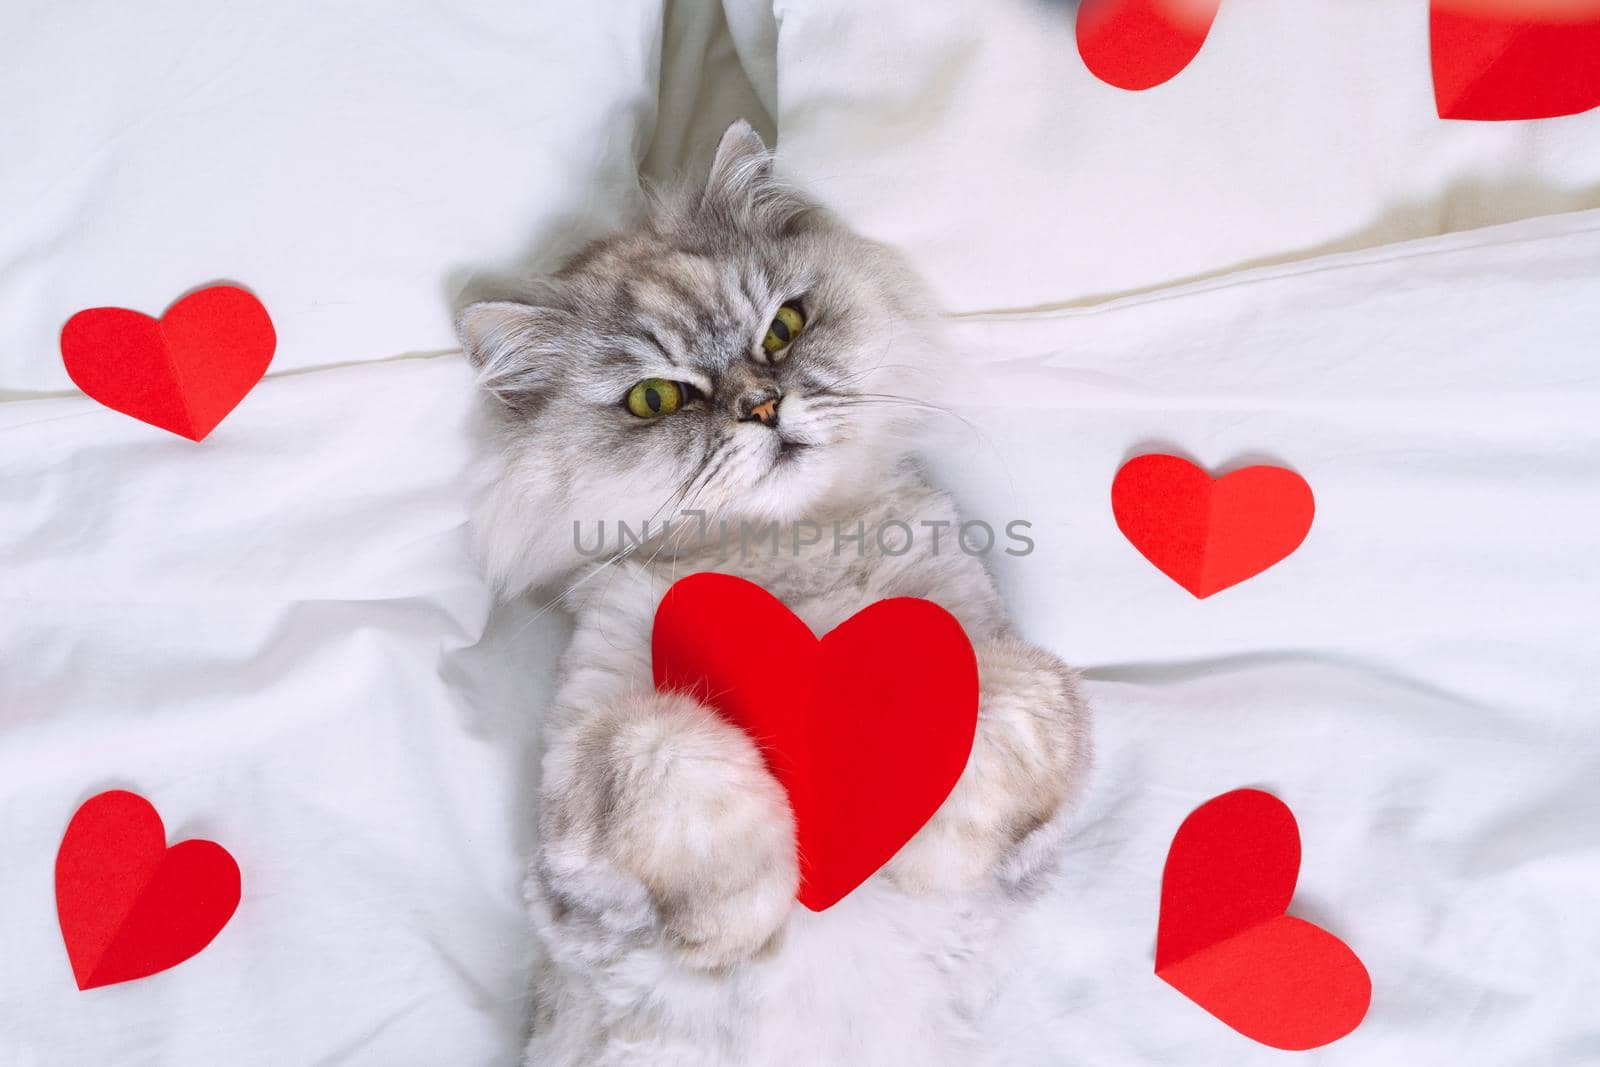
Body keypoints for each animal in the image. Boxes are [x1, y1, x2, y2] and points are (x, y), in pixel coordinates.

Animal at [457, 123, 1094, 1067]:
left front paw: (914, 855)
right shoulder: (583, 829)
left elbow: (1002, 696)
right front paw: (744, 922)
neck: (789, 557)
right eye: (655, 398)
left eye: (784, 328)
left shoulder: (1014, 681)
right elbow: (667, 743)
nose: (764, 406)